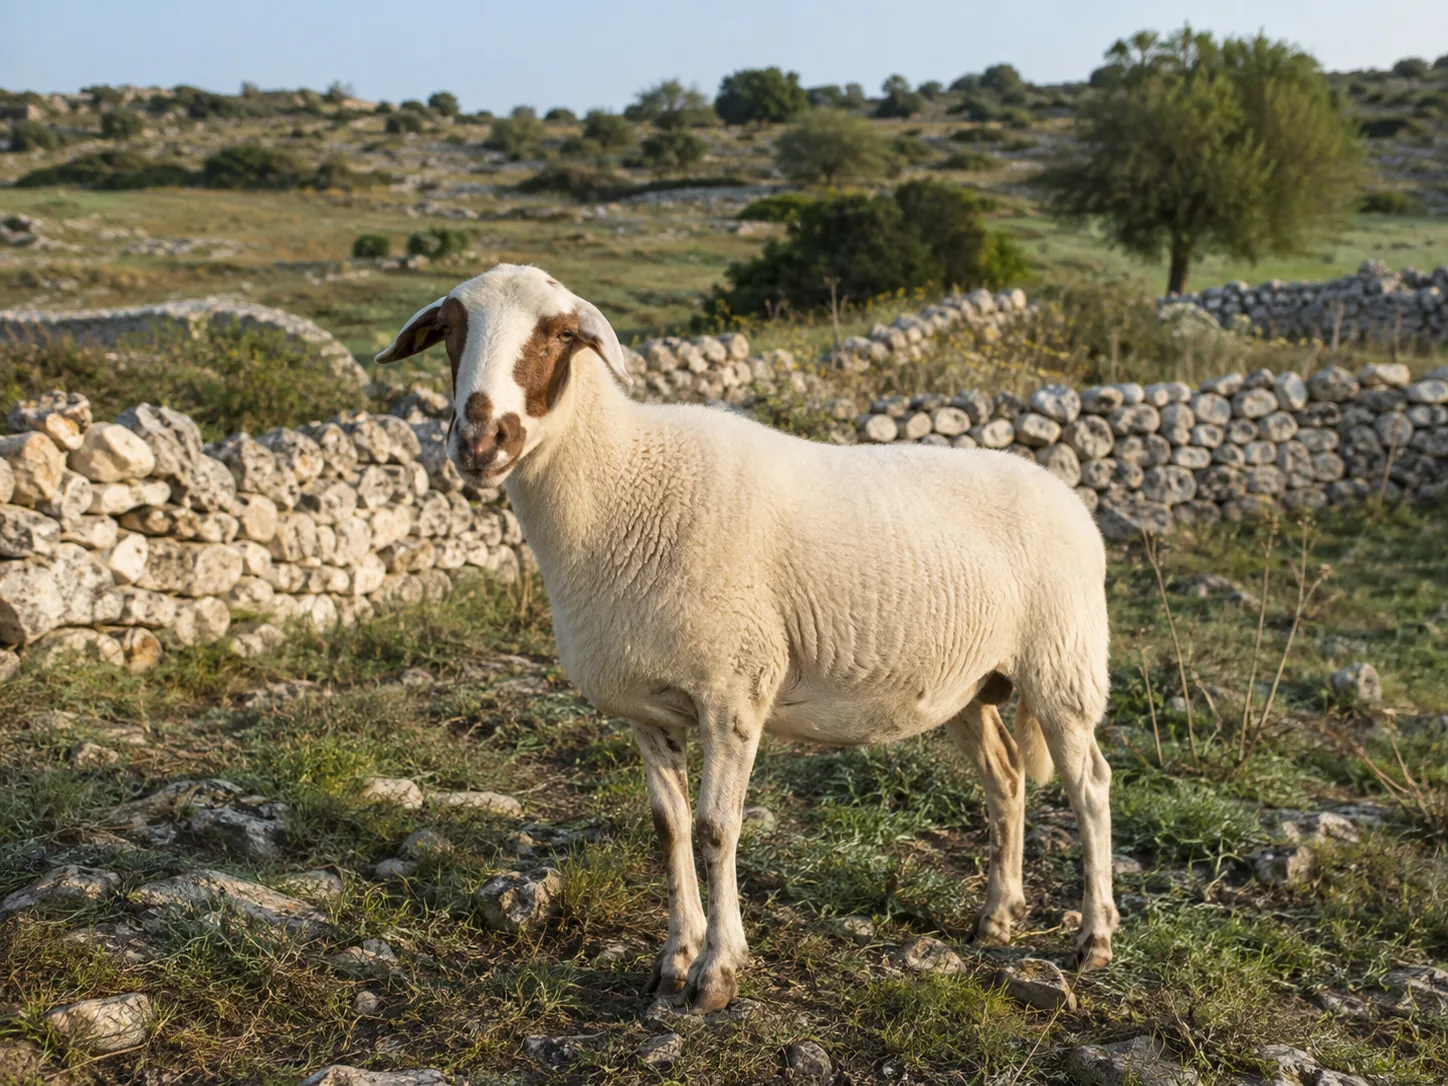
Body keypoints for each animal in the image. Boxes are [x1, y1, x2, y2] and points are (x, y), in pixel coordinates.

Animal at [377, 264, 1117, 1013]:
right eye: (450, 331)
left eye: (560, 334)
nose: (480, 441)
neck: (623, 478)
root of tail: (1060, 488)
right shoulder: (648, 707)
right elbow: (669, 828)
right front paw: (674, 960)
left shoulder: (733, 690)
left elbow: (715, 828)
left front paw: (717, 972)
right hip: (969, 684)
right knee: (1007, 778)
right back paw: (997, 916)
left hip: (1064, 664)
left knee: (1090, 787)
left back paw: (1095, 939)